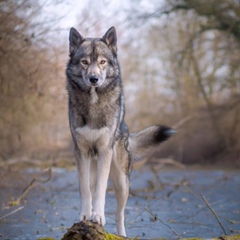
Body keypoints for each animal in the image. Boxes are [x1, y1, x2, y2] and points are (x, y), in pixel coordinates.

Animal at [66, 26, 175, 236]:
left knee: (120, 214)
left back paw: (121, 234)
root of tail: (126, 130)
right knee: (91, 188)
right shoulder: (80, 152)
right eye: (84, 62)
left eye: (102, 62)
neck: (93, 102)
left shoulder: (105, 152)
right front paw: (85, 215)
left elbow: (101, 190)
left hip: (122, 182)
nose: (94, 79)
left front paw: (98, 216)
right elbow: (85, 189)